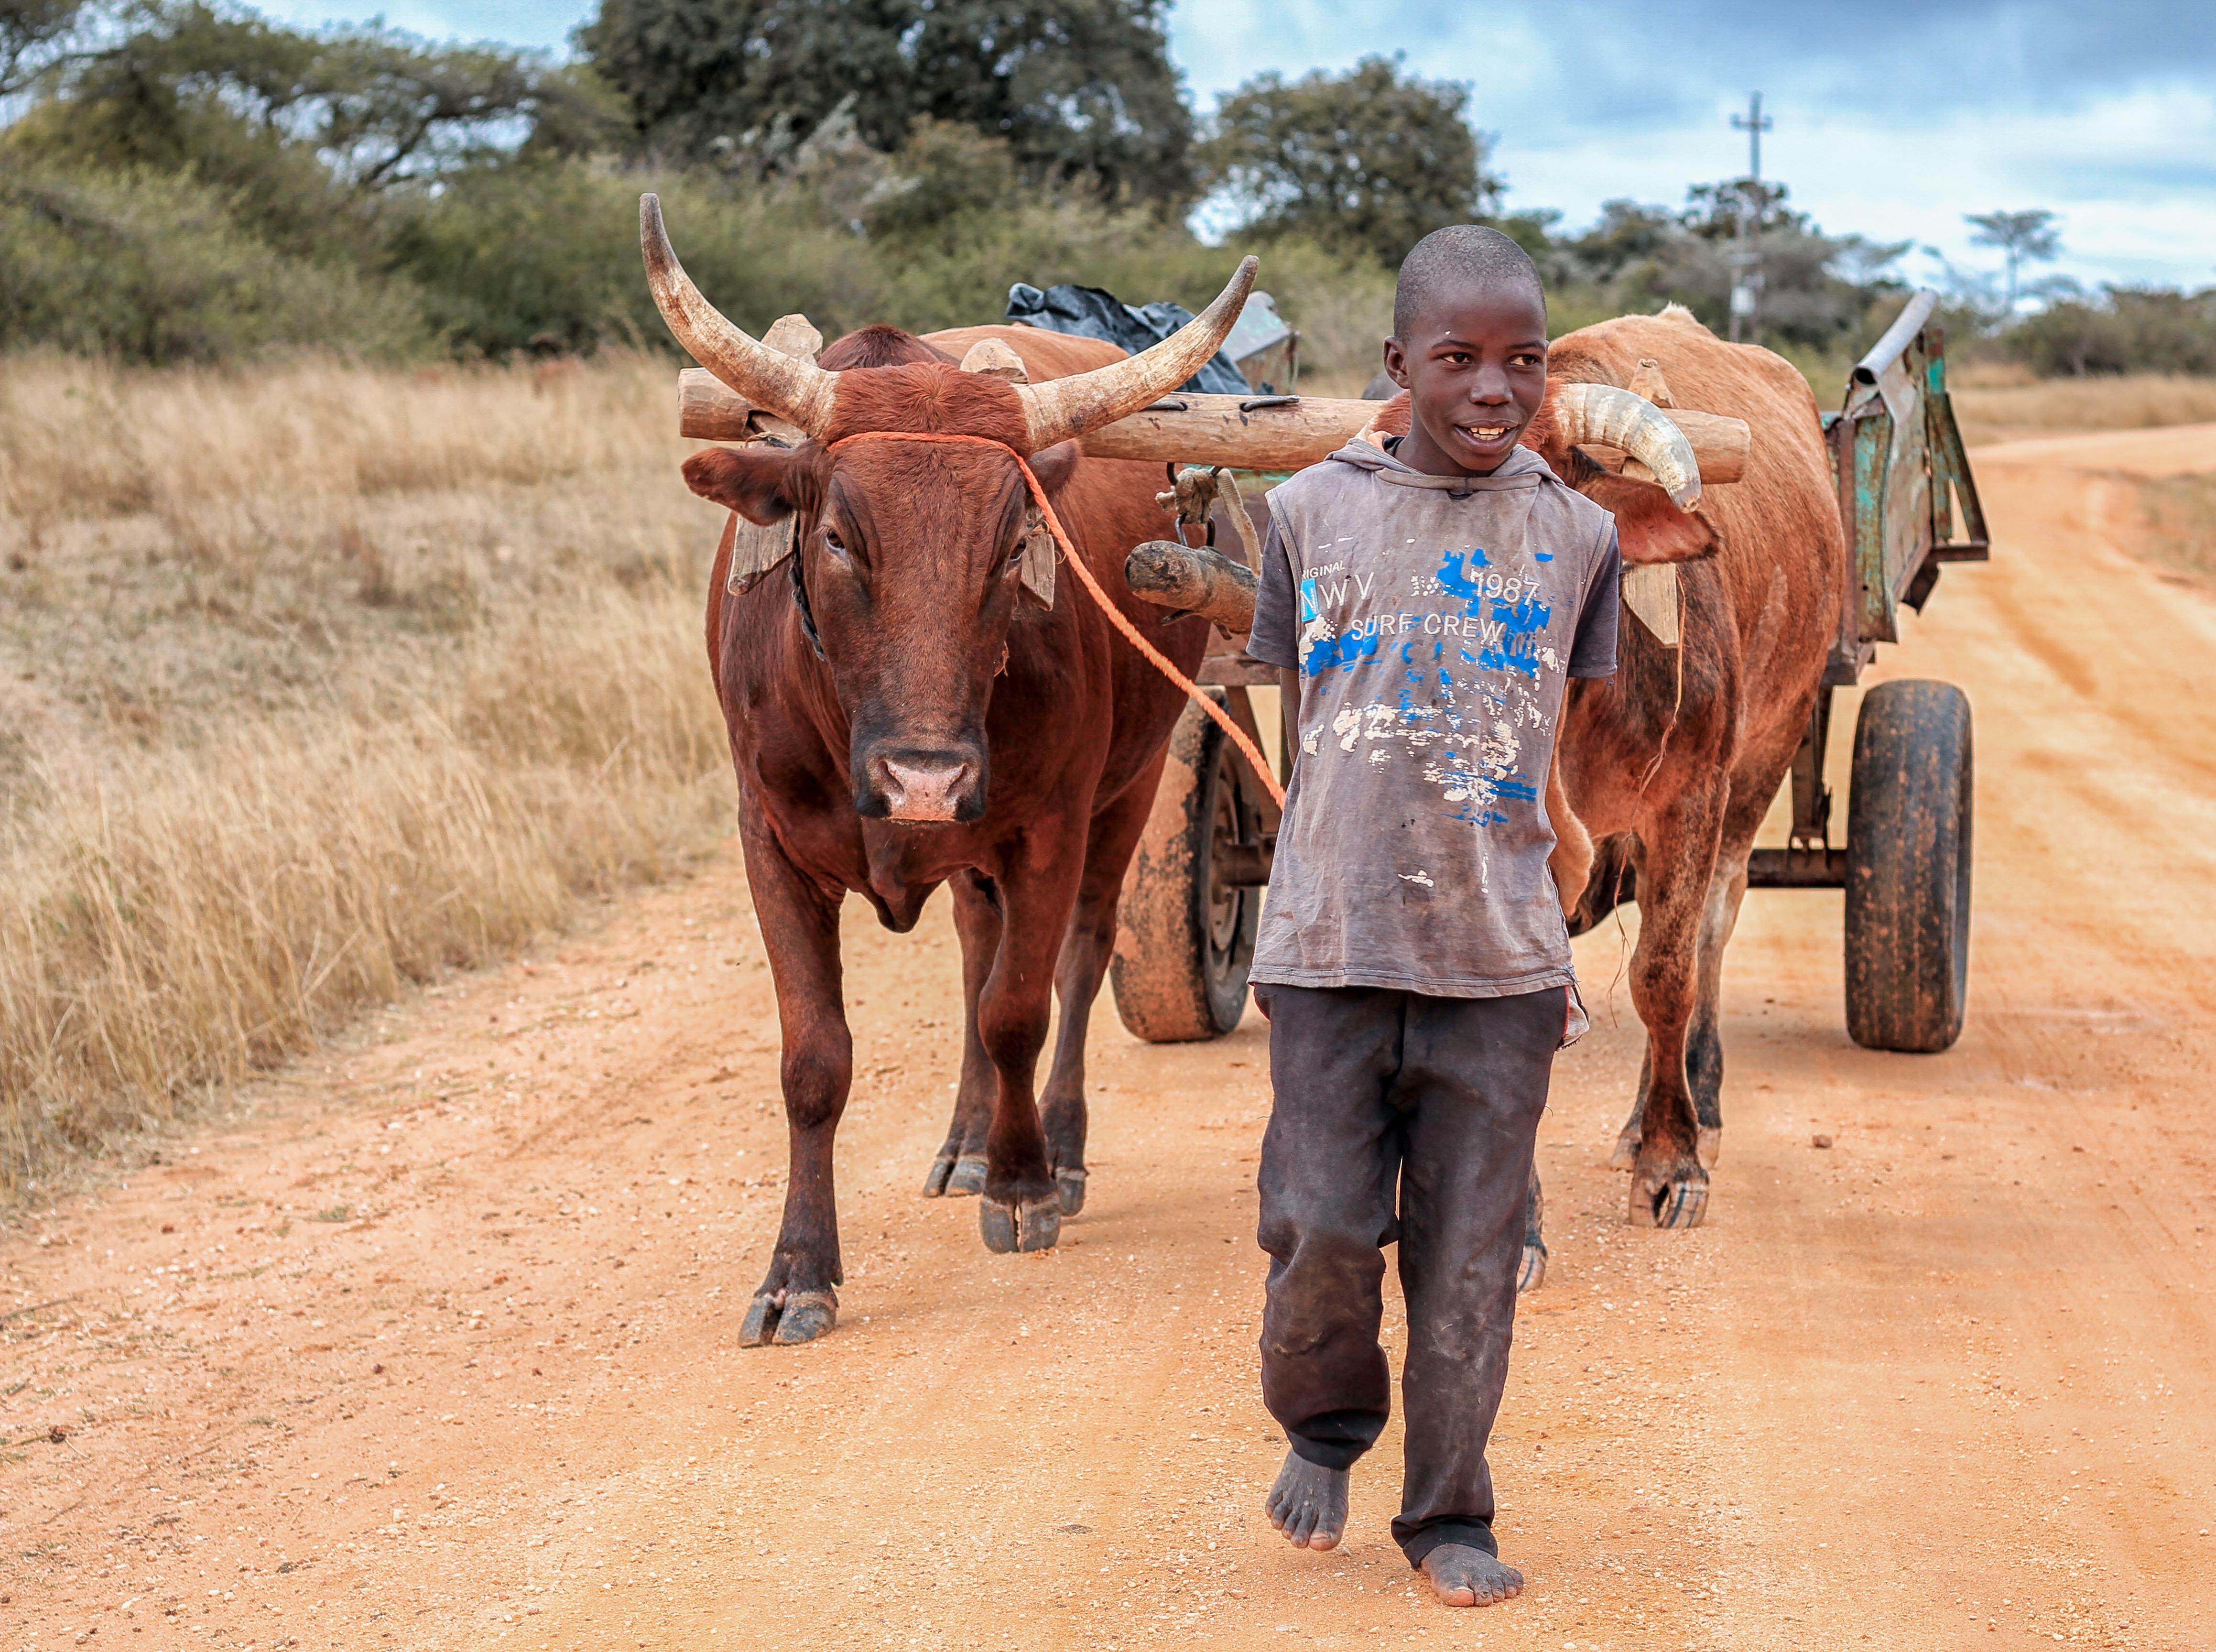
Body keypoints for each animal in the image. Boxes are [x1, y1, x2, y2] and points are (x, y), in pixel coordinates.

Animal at [647, 199, 1259, 1348]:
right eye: (838, 537)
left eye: (1013, 541)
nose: (921, 780)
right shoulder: (769, 846)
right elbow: (815, 1059)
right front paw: (798, 1271)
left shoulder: (1051, 826)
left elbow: (1017, 1008)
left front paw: (1022, 1186)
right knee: (977, 948)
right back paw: (966, 1142)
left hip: (1134, 786)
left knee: (1075, 960)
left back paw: (1054, 1149)